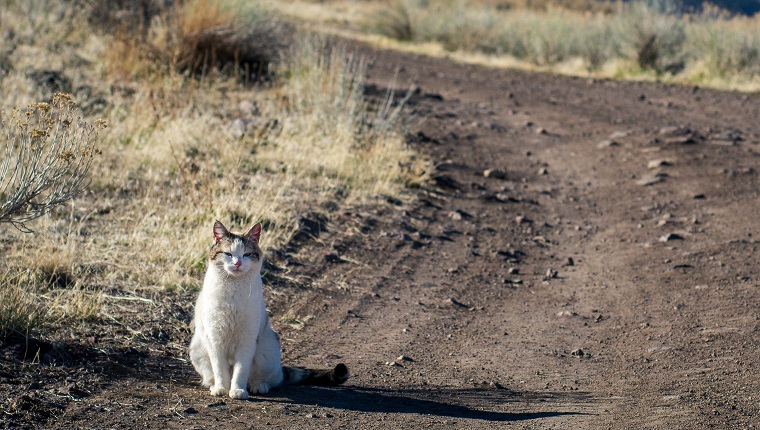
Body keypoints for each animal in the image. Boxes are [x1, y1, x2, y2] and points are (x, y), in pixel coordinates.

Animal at [189, 222, 348, 400]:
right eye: (228, 254)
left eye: (246, 254)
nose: (237, 263)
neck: (234, 288)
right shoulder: (215, 338)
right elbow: (220, 369)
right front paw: (222, 388)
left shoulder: (248, 338)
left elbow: (241, 369)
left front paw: (238, 390)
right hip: (198, 349)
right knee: (212, 374)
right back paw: (213, 385)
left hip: (267, 349)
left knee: (271, 378)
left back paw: (258, 386)